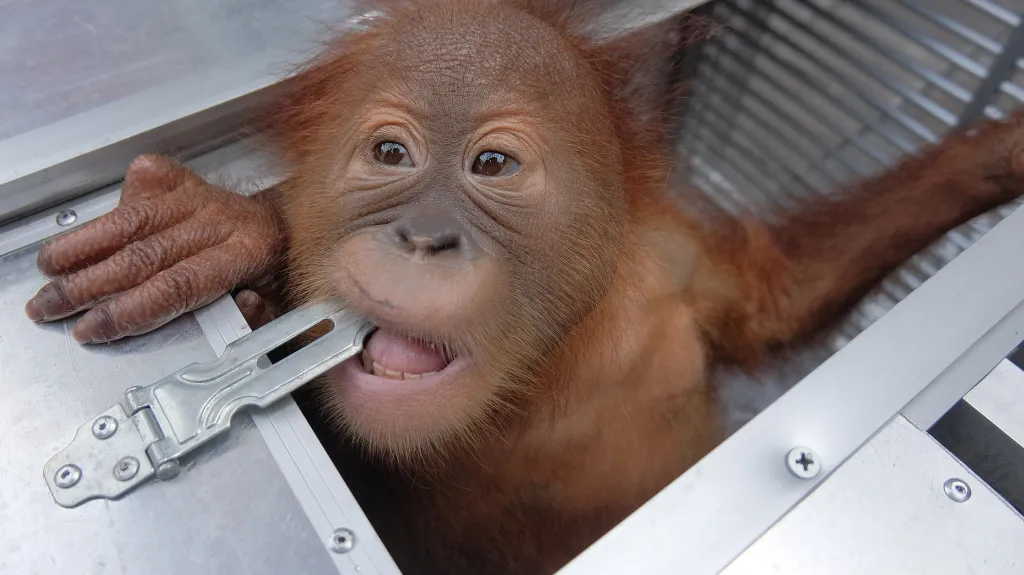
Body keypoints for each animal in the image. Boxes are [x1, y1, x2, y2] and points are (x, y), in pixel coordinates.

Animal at [22, 1, 1024, 573]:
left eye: (493, 164)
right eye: (391, 153)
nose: (423, 236)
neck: (537, 376)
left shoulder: (675, 262)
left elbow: (775, 300)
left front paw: (1002, 150)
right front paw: (219, 231)